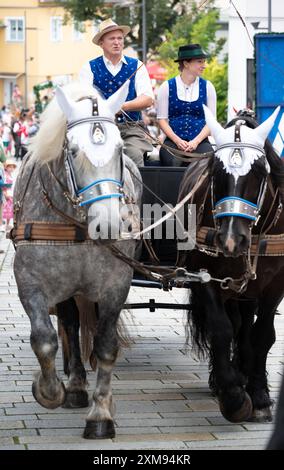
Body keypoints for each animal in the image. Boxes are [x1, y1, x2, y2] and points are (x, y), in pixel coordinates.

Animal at [12, 81, 142, 440]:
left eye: (119, 150)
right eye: (71, 151)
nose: (109, 224)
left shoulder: (116, 284)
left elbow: (106, 345)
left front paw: (101, 413)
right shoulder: (30, 281)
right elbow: (44, 339)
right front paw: (49, 390)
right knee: (69, 324)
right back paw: (74, 385)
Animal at [179, 105, 284, 422]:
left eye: (260, 171)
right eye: (216, 169)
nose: (229, 240)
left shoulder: (275, 286)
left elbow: (263, 334)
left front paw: (259, 396)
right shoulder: (203, 277)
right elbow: (222, 329)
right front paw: (234, 395)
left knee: (246, 325)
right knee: (236, 324)